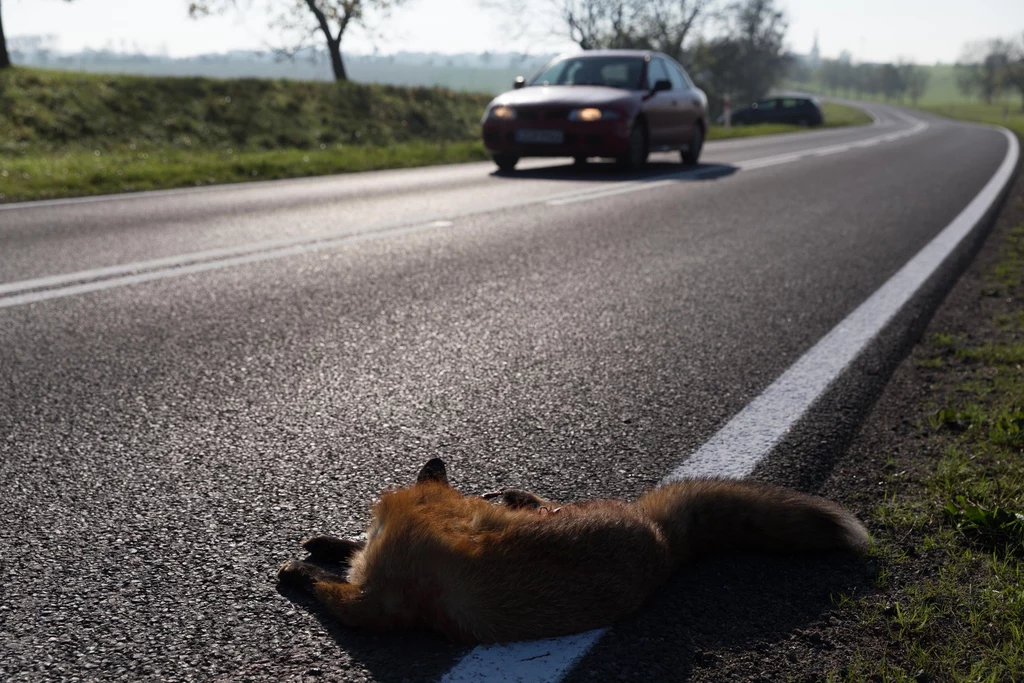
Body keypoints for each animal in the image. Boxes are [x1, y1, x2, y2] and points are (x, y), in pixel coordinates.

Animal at [276, 456, 868, 643]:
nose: (438, 459)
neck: (427, 513)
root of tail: (659, 537)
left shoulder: (376, 605)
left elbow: (333, 587)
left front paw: (297, 572)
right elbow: (350, 549)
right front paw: (325, 541)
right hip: (554, 515)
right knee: (539, 502)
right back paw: (512, 493)